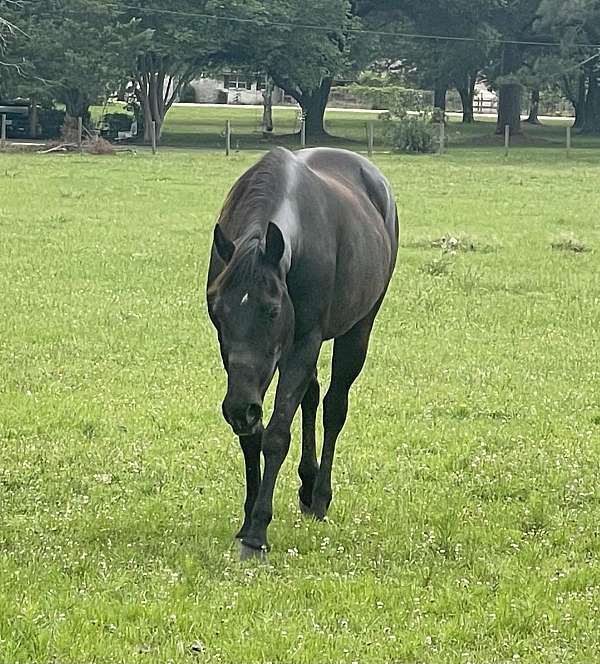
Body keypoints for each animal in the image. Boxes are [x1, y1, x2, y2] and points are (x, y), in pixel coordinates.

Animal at [206, 147, 399, 559]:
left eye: (271, 310)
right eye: (218, 309)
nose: (239, 409)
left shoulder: (302, 344)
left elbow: (277, 433)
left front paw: (257, 533)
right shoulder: (241, 367)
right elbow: (253, 434)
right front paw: (247, 519)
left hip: (357, 331)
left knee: (333, 407)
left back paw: (321, 495)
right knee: (311, 396)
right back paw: (307, 487)